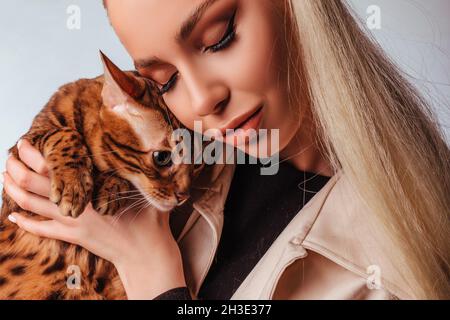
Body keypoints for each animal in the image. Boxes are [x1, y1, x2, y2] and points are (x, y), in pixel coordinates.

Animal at [0, 51, 201, 298]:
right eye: (162, 157)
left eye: (198, 162)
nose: (184, 196)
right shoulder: (19, 161)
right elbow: (63, 132)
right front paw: (74, 184)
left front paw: (110, 189)